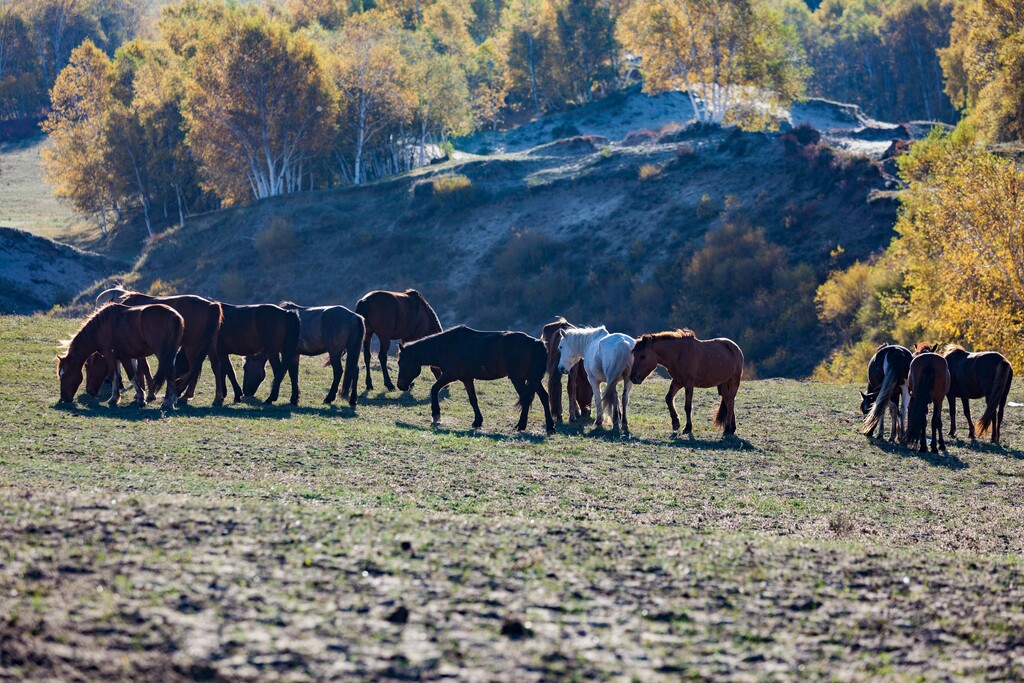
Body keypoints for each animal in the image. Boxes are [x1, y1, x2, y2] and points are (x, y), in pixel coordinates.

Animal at [395, 325, 557, 432]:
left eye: (401, 363)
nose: (400, 386)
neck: (448, 345)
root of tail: (536, 343)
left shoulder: (449, 375)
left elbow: (434, 389)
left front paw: (436, 415)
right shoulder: (467, 379)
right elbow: (473, 400)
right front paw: (478, 421)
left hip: (519, 379)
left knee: (527, 399)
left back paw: (521, 425)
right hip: (532, 379)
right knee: (544, 396)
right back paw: (550, 426)